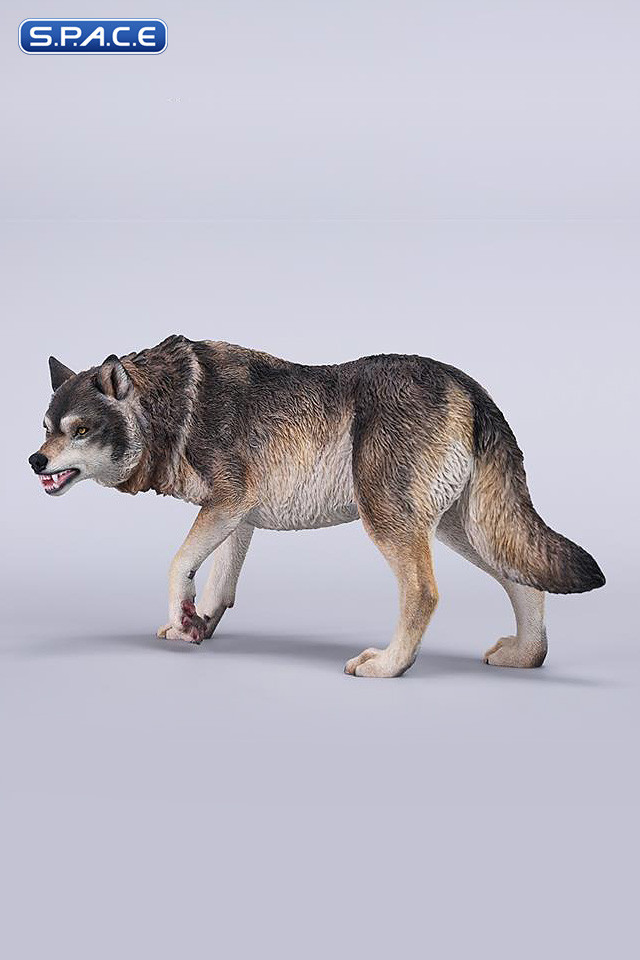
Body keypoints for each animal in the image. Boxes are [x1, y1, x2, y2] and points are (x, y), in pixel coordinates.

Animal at [29, 335, 604, 676]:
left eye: (79, 431)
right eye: (47, 428)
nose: (35, 461)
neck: (171, 407)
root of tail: (471, 386)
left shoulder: (226, 503)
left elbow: (177, 566)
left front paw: (181, 614)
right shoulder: (237, 516)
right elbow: (216, 584)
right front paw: (197, 626)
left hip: (393, 524)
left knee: (424, 594)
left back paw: (388, 666)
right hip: (462, 530)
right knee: (526, 584)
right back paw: (527, 657)